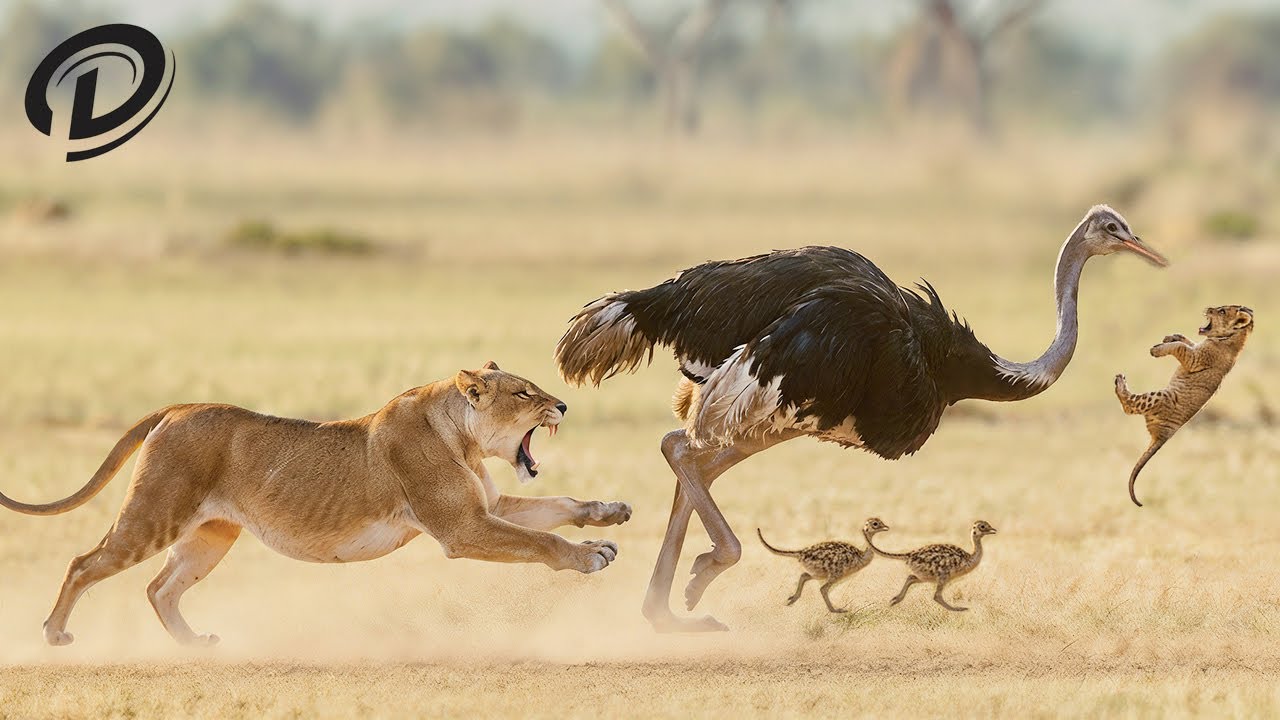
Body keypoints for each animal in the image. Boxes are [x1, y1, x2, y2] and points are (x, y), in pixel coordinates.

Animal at [0, 362, 632, 646]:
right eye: (525, 393)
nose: (564, 406)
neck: (464, 438)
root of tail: (178, 407)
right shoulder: (461, 527)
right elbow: (541, 539)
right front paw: (590, 557)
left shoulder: (486, 507)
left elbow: (557, 505)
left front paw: (607, 515)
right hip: (155, 513)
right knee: (85, 564)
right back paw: (54, 634)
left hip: (211, 535)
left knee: (159, 588)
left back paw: (195, 645)